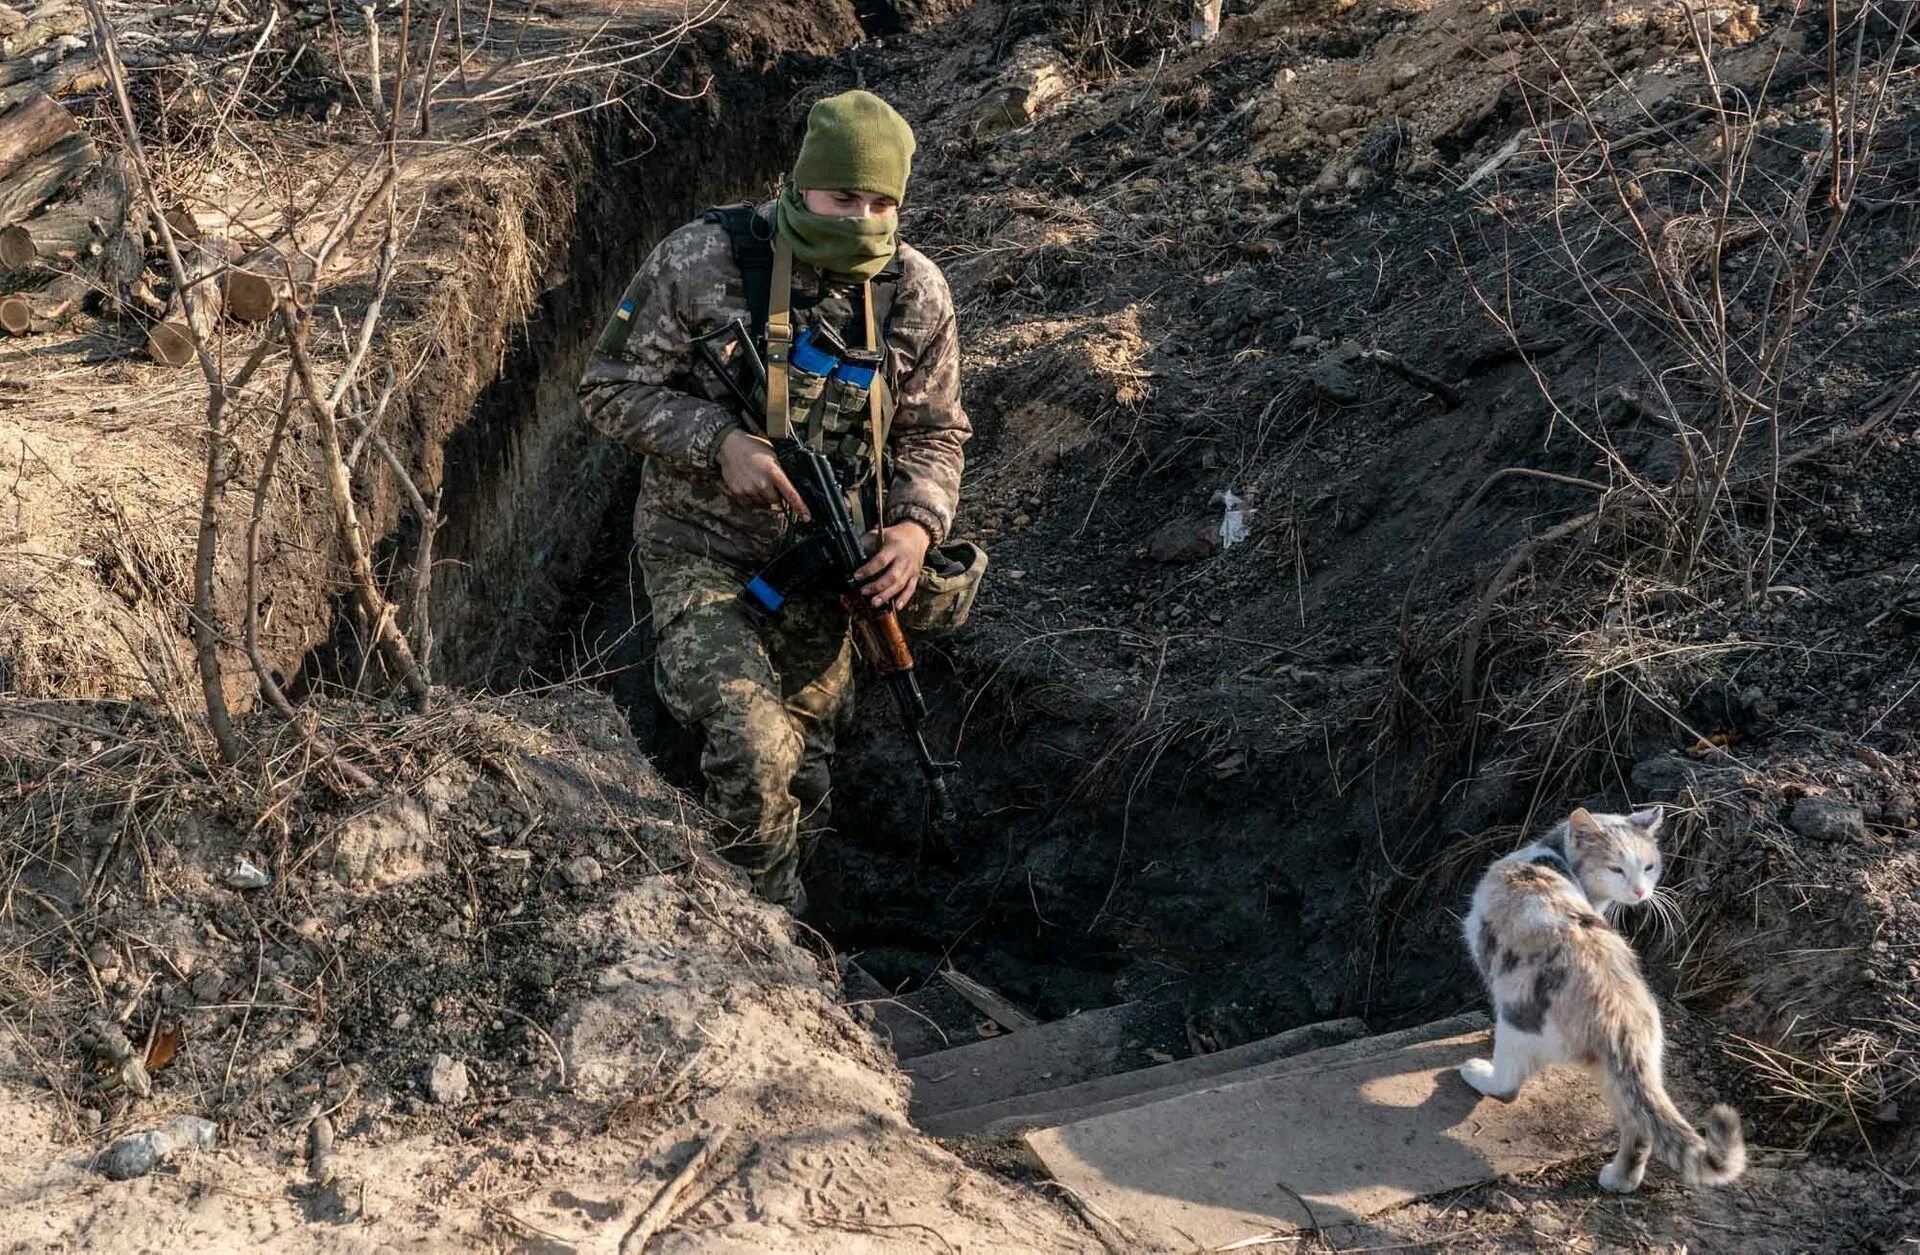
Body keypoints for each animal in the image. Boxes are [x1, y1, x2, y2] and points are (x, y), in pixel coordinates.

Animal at [1459, 809, 1751, 1197]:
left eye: (1648, 867)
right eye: (1616, 869)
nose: (1640, 891)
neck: (1549, 859)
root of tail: (1618, 1012)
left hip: (1518, 1021)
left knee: (1508, 1085)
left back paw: (1479, 1074)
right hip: (1630, 1071)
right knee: (1640, 1128)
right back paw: (1619, 1180)